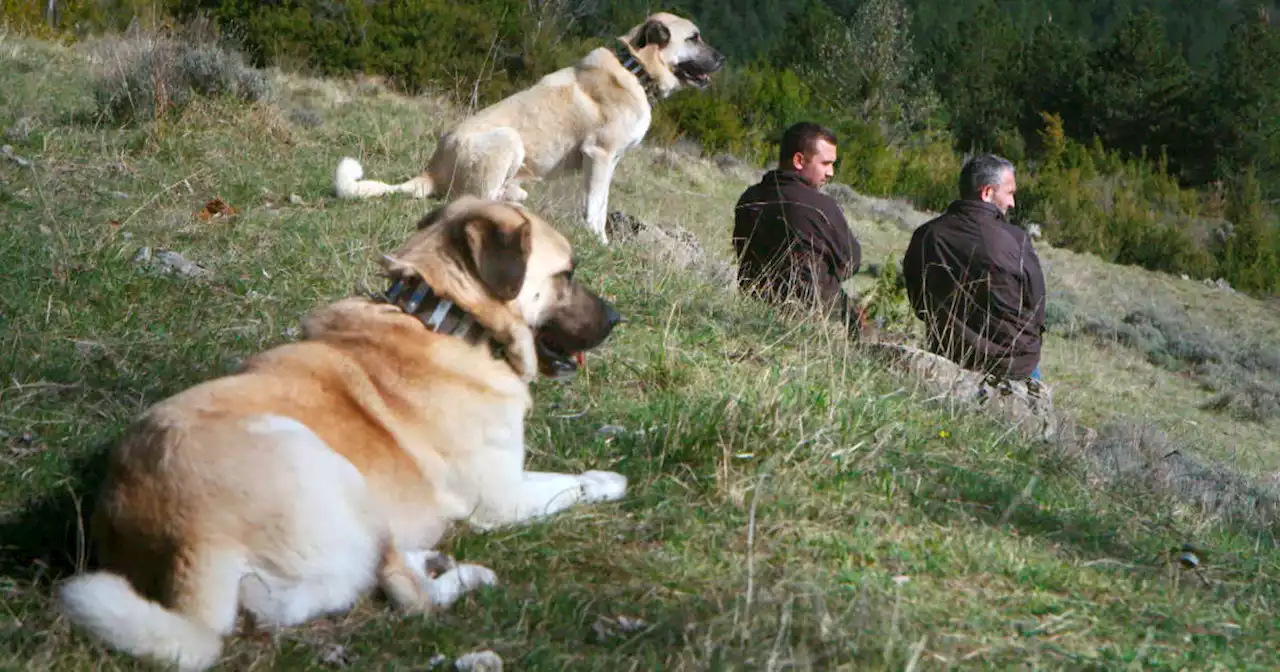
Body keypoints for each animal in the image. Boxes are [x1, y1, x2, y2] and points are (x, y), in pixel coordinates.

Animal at [60, 197, 629, 665]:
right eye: (567, 273)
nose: (617, 318)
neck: (446, 317)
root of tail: (187, 540)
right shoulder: (504, 498)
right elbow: (569, 484)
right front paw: (608, 481)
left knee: (352, 582)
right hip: (331, 468)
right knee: (407, 595)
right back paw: (463, 576)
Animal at [330, 11, 727, 243]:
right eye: (693, 38)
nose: (723, 58)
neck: (636, 66)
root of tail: (431, 170)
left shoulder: (608, 161)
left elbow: (599, 205)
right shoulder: (599, 156)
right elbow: (595, 208)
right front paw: (598, 241)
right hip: (508, 140)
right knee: (473, 201)